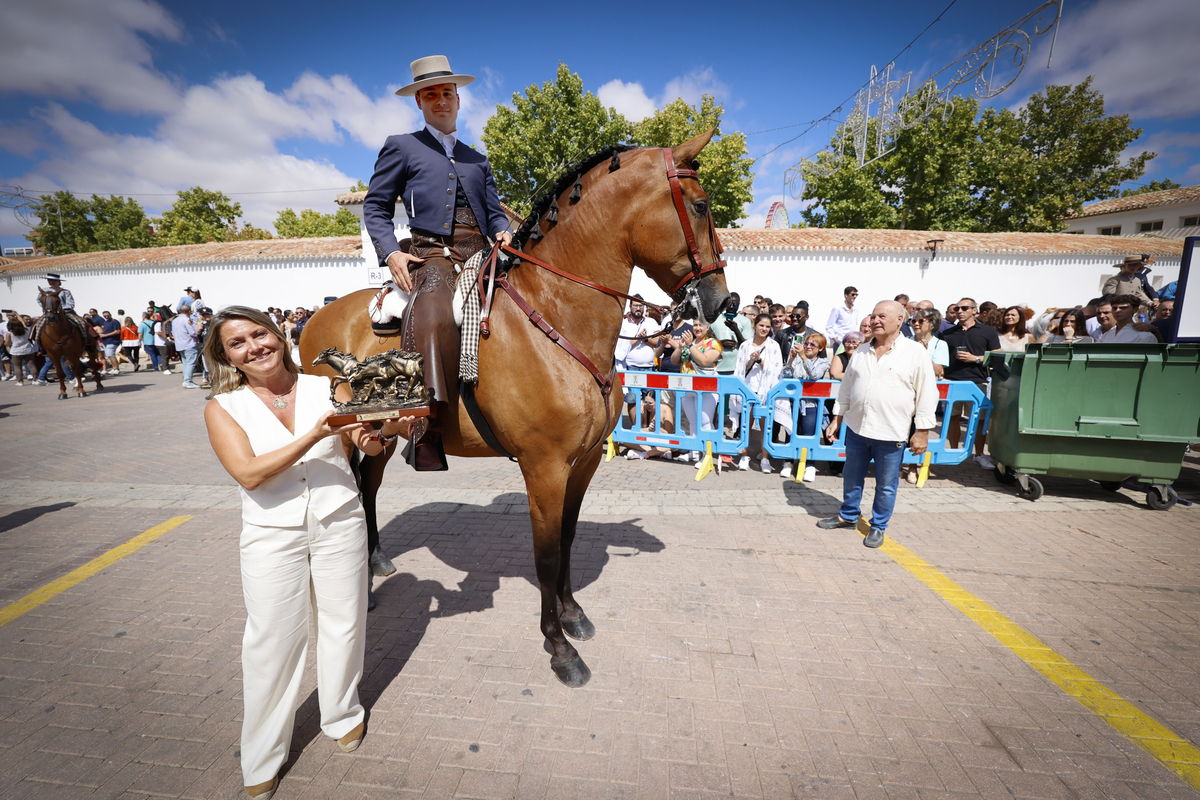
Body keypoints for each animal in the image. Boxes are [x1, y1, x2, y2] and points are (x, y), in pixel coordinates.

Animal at [300, 131, 729, 690]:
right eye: (700, 205)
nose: (723, 301)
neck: (555, 313)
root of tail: (317, 315)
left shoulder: (582, 463)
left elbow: (567, 539)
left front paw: (573, 615)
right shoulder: (544, 468)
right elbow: (545, 556)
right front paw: (559, 647)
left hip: (384, 433)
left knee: (367, 487)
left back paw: (375, 562)